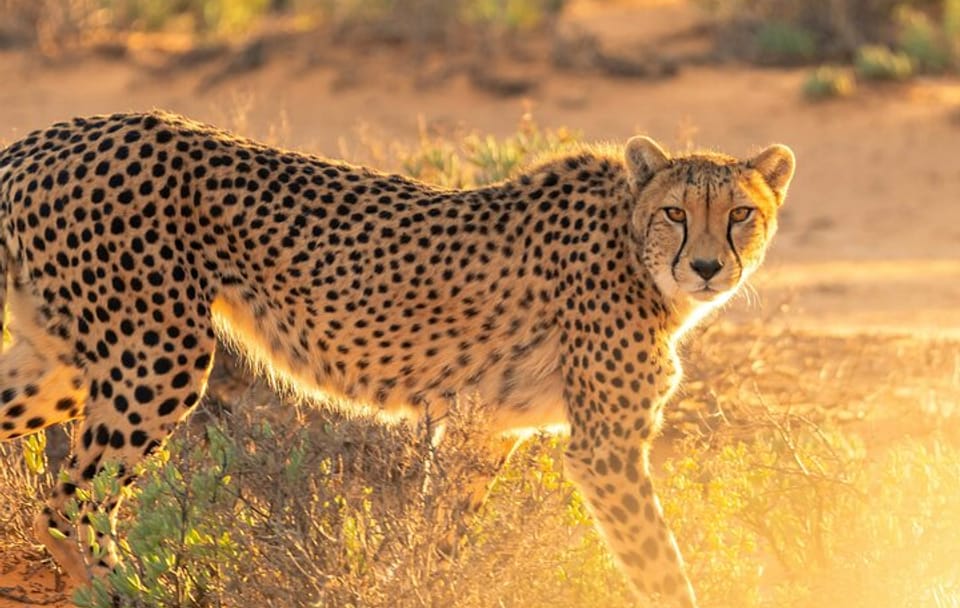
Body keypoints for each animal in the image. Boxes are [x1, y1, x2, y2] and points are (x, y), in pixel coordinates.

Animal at [0, 110, 794, 607]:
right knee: (73, 499)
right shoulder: (605, 448)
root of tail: (50, 136)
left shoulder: (483, 430)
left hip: (62, 363)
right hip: (157, 355)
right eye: (675, 212)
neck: (634, 244)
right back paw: (128, 591)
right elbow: (659, 565)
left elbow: (439, 537)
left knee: (50, 483)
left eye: (741, 214)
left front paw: (411, 586)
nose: (707, 267)